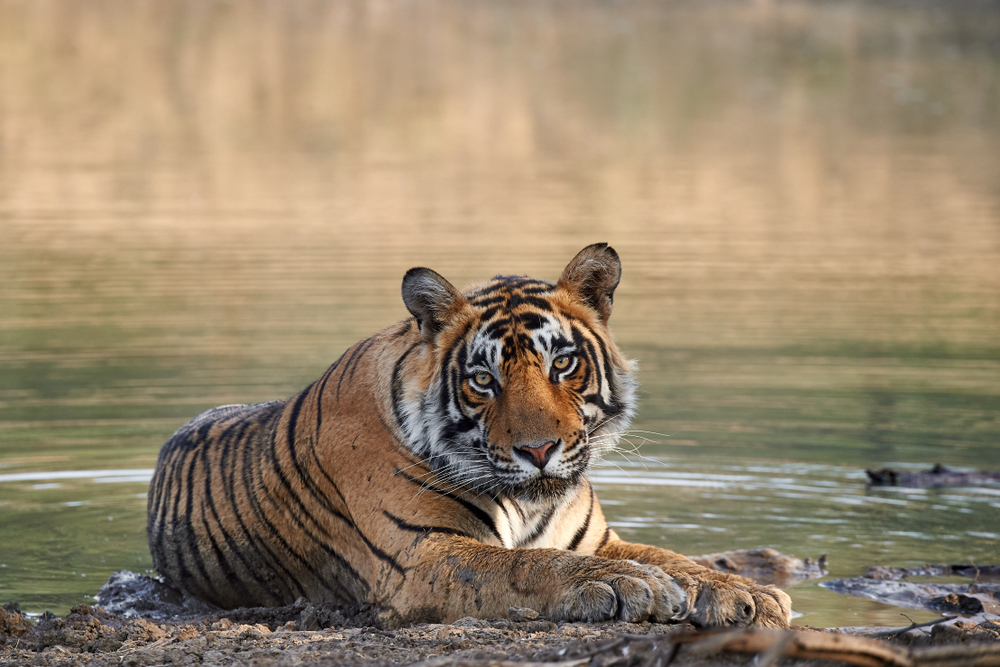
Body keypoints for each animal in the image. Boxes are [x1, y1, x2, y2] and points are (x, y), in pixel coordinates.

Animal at [147, 243, 792, 628]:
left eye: (562, 364)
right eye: (484, 379)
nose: (539, 451)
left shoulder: (597, 539)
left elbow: (673, 558)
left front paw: (746, 592)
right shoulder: (421, 556)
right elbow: (527, 566)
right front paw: (626, 585)